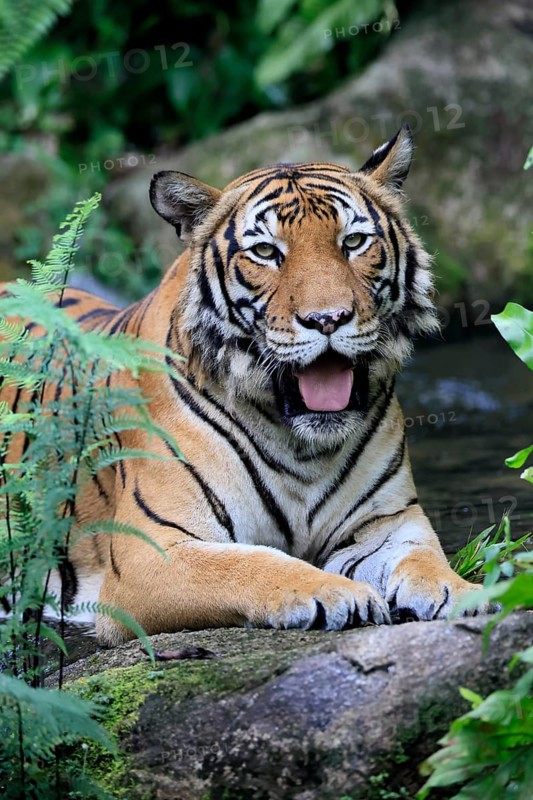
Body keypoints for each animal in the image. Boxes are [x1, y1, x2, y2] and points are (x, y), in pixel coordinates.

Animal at [1, 125, 486, 645]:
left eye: (354, 241)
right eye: (267, 252)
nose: (328, 319)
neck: (303, 446)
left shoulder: (387, 522)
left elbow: (423, 558)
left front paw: (466, 593)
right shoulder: (153, 550)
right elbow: (253, 563)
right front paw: (335, 592)